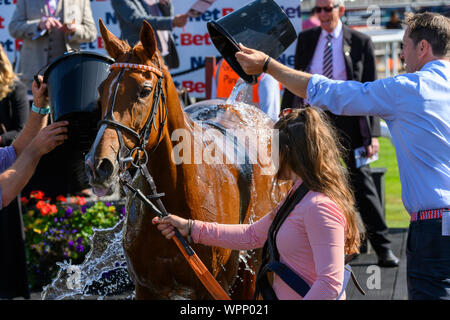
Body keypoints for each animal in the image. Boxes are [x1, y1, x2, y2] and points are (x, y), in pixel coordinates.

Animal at [85, 20, 284, 300]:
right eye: (102, 89)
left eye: (145, 91)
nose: (99, 165)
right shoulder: (147, 288)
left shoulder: (212, 287)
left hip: (251, 270)